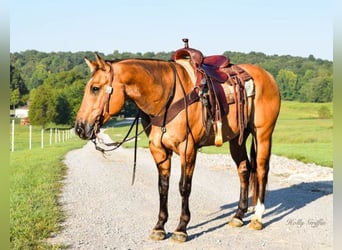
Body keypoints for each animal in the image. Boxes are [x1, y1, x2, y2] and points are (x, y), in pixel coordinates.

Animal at [75, 40, 280, 242]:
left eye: (95, 88)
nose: (79, 128)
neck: (166, 98)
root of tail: (267, 76)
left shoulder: (187, 149)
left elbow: (184, 187)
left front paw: (181, 228)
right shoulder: (158, 150)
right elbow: (163, 187)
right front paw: (159, 226)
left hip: (263, 134)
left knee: (261, 170)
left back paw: (257, 217)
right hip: (237, 139)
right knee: (244, 169)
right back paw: (238, 216)